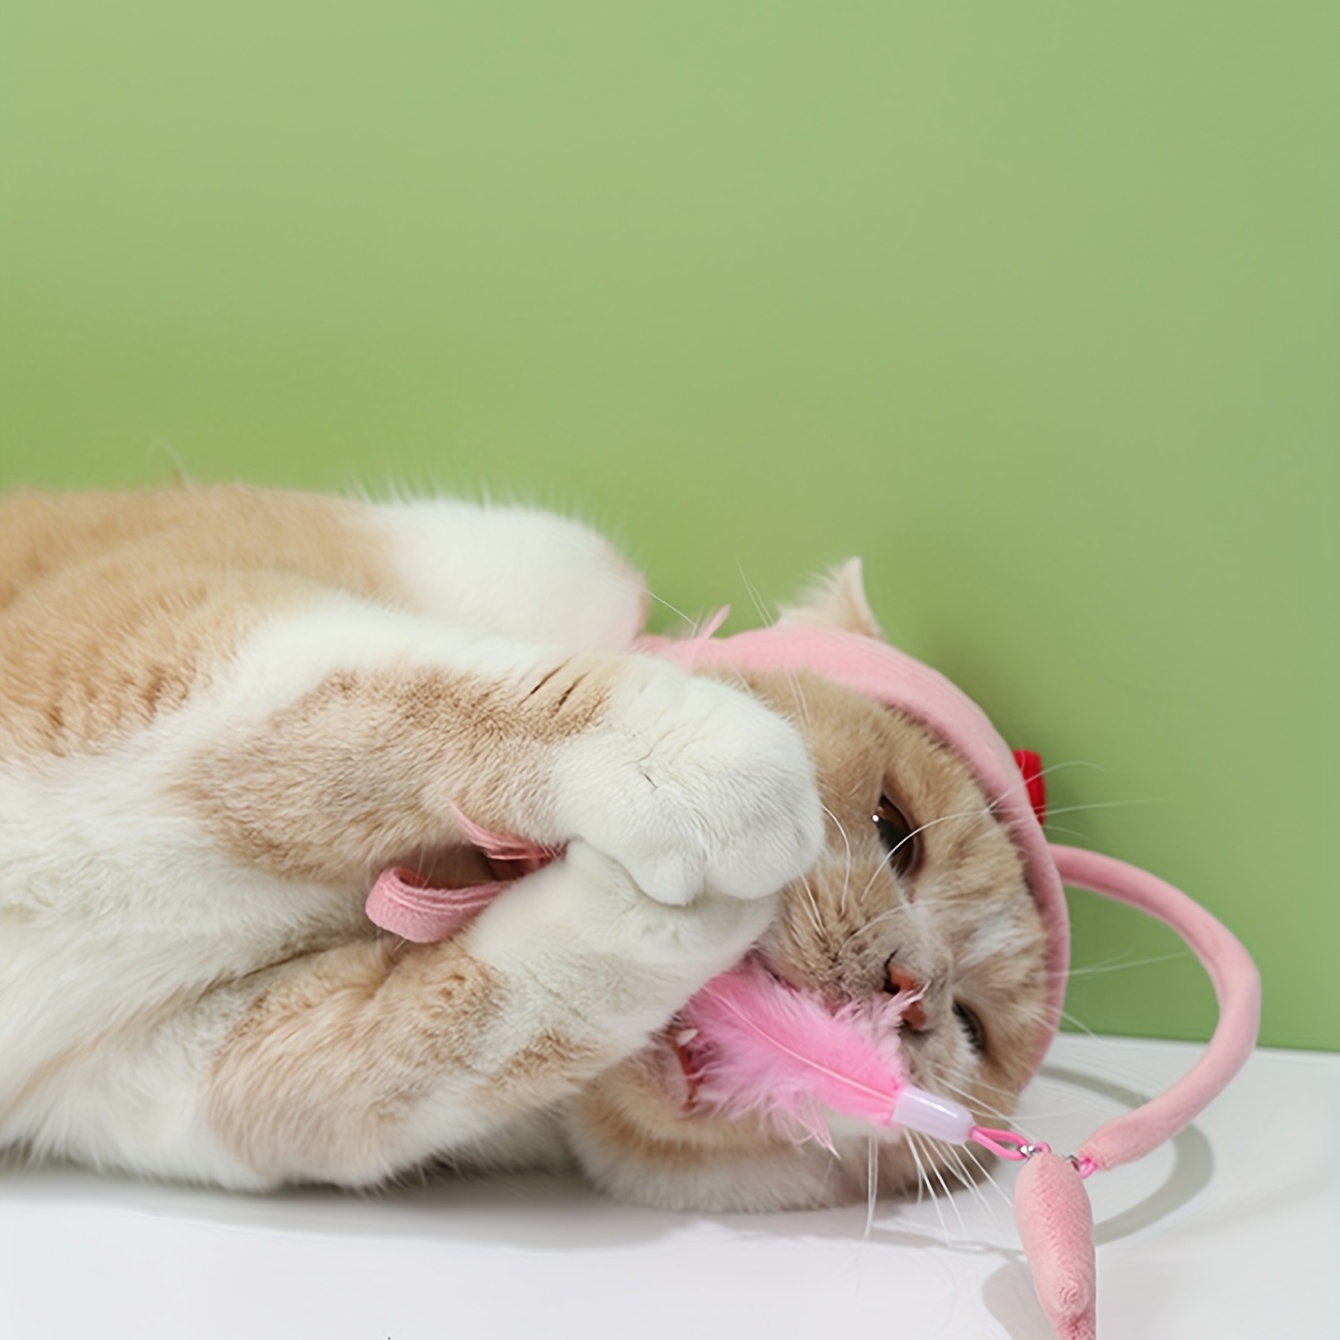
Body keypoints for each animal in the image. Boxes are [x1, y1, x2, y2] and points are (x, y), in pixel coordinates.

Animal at [0, 485, 1045, 1216]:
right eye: (894, 829)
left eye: (971, 1029)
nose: (907, 990)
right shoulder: (167, 629)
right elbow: (384, 694)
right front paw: (722, 773)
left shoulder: (194, 1067)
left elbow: (461, 1029)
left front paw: (665, 921)